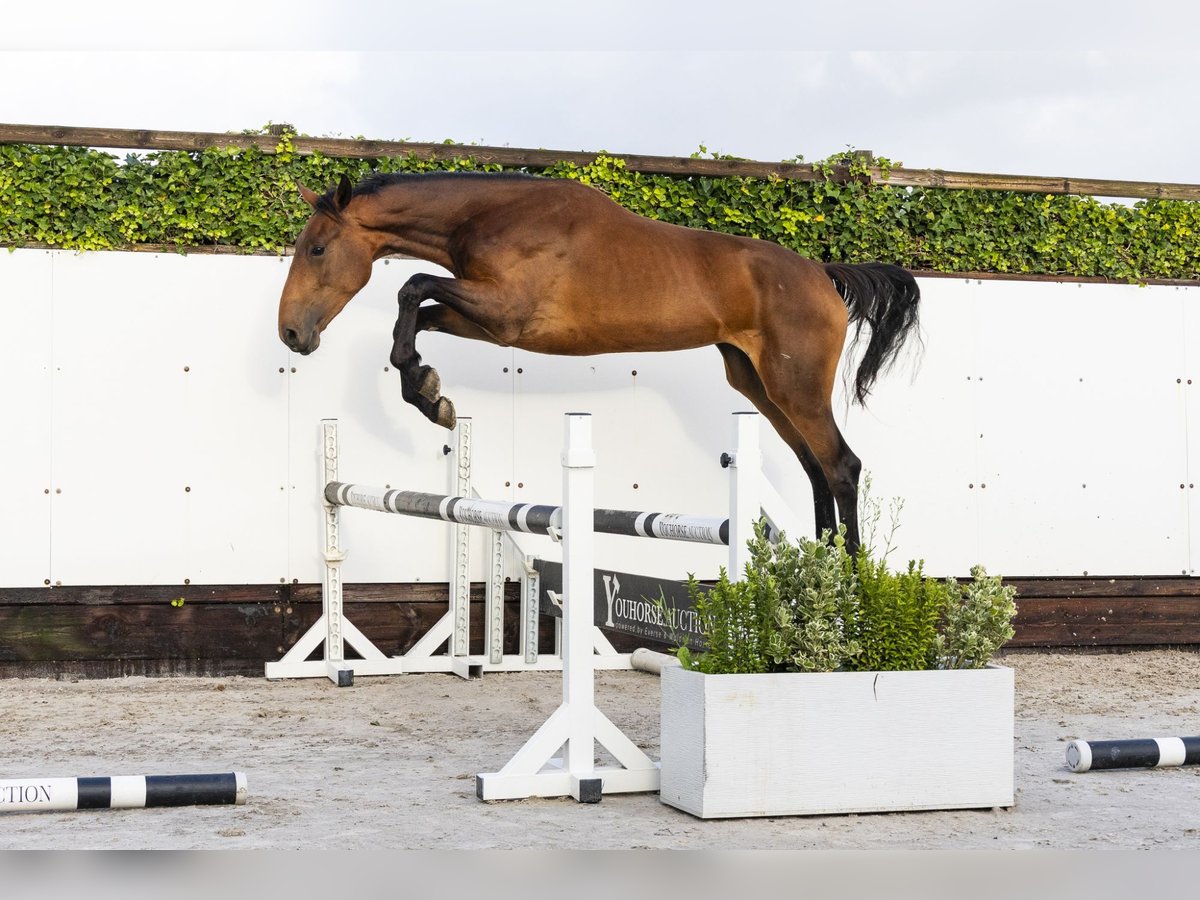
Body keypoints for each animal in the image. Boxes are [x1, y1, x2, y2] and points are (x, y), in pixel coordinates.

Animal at [278, 171, 920, 555]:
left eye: (317, 249)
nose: (290, 334)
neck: (488, 218)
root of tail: (822, 275)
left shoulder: (506, 312)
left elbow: (412, 286)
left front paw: (429, 395)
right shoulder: (492, 322)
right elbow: (417, 314)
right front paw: (430, 393)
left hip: (795, 385)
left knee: (841, 466)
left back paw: (850, 590)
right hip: (757, 383)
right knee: (815, 470)